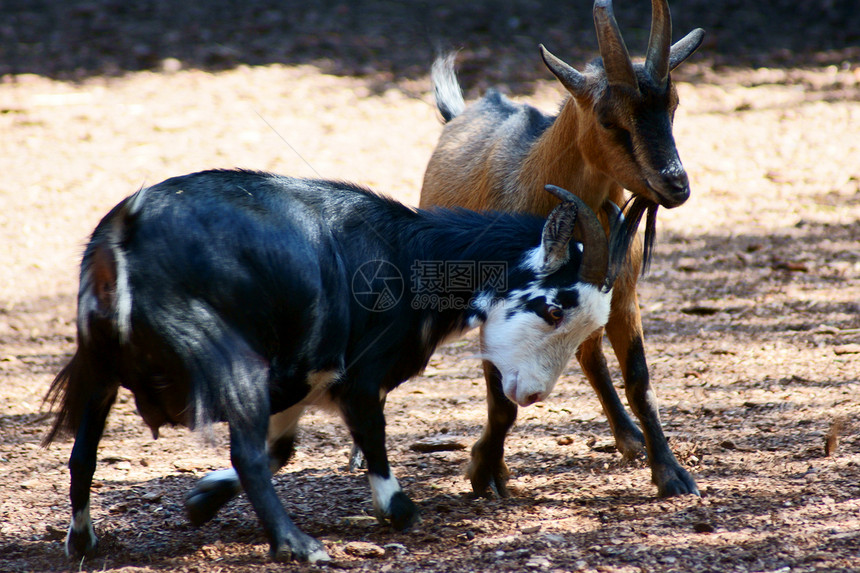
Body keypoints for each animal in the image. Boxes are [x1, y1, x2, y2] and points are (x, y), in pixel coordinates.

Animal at [43, 169, 628, 560]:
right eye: (554, 309)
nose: (531, 394)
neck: (410, 255)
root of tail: (124, 239)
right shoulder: (359, 380)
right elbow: (368, 450)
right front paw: (396, 509)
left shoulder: (302, 380)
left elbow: (281, 450)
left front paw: (200, 500)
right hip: (231, 362)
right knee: (245, 452)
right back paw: (299, 546)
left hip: (98, 371)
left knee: (82, 454)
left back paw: (83, 540)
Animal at [418, 0, 704, 496]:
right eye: (609, 120)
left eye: (673, 105)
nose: (675, 184)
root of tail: (458, 115)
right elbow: (502, 399)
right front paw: (486, 471)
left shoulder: (620, 294)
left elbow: (639, 380)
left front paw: (671, 474)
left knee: (589, 355)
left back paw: (628, 437)